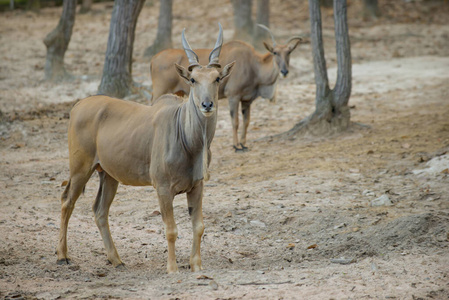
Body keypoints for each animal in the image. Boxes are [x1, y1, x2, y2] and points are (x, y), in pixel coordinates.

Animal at [56, 24, 234, 274]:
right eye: (192, 79)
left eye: (217, 78)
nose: (207, 104)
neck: (187, 139)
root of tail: (77, 106)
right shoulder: (163, 188)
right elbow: (171, 230)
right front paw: (172, 268)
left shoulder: (197, 186)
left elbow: (198, 226)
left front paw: (196, 266)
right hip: (80, 168)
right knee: (67, 202)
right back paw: (62, 256)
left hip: (108, 175)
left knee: (100, 211)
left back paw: (116, 260)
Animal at [150, 24, 300, 151]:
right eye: (275, 53)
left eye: (289, 52)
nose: (284, 71)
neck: (254, 65)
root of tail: (153, 59)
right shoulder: (233, 96)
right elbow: (235, 121)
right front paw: (236, 146)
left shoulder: (246, 100)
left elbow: (246, 121)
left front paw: (244, 144)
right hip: (160, 92)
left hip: (178, 93)